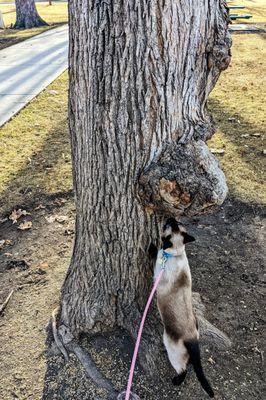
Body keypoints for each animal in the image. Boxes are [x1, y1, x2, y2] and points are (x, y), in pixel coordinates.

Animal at [154, 217, 214, 398]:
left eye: (169, 226)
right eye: (174, 223)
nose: (170, 218)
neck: (175, 253)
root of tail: (193, 339)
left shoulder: (156, 274)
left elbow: (155, 251)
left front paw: (153, 246)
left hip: (172, 350)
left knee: (183, 370)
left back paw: (176, 381)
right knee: (190, 363)